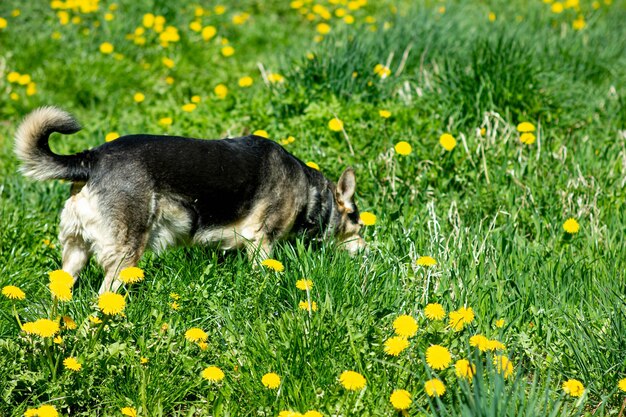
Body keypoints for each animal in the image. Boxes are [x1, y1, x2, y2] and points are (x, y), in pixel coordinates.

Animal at [13, 107, 366, 294]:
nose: (368, 250)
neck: (311, 193)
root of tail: (92, 158)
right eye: (358, 225)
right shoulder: (261, 242)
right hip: (125, 256)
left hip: (74, 252)